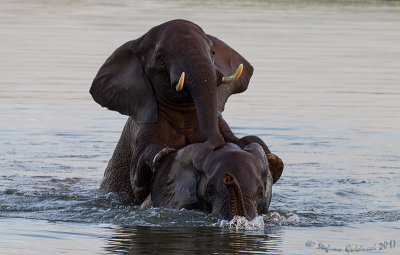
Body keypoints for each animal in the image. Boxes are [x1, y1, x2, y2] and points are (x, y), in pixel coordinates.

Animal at [90, 19, 284, 203]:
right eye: (160, 57)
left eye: (213, 52)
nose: (213, 144)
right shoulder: (141, 126)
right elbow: (138, 181)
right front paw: (163, 153)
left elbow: (241, 140)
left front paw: (269, 156)